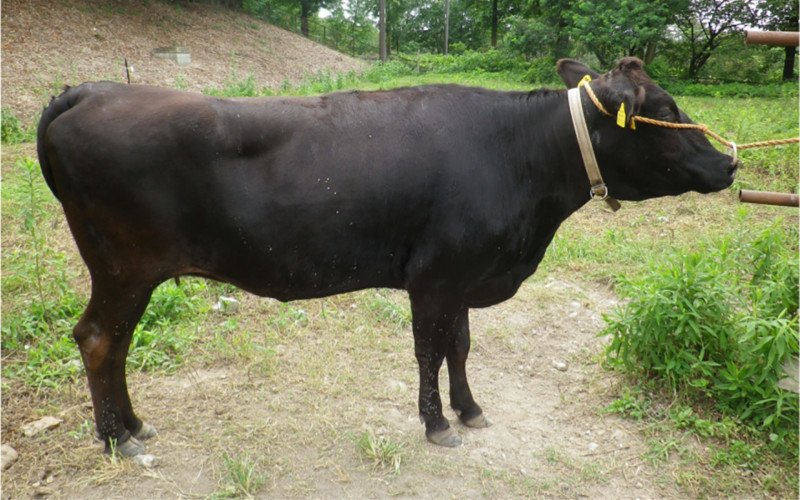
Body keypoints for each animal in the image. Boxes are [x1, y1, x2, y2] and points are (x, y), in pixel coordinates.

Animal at [36, 57, 737, 457]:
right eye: (665, 110)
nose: (730, 163)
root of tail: (90, 90)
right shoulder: (435, 276)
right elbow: (429, 351)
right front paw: (436, 424)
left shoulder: (463, 275)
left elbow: (459, 347)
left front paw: (470, 409)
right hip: (124, 266)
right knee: (99, 338)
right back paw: (116, 438)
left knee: (111, 343)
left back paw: (131, 426)